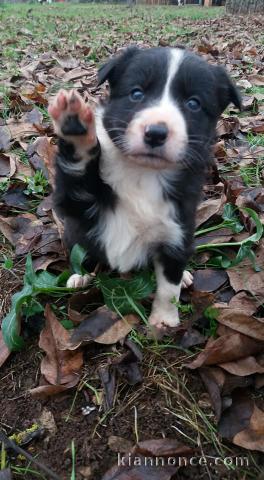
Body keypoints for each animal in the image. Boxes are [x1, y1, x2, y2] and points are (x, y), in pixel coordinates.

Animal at [48, 46, 241, 330]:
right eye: (136, 93)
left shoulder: (177, 230)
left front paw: (164, 319)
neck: (144, 174)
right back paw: (79, 276)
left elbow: (169, 285)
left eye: (193, 103)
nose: (156, 132)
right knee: (80, 253)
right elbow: (76, 175)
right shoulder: (76, 202)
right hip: (74, 233)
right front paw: (76, 128)